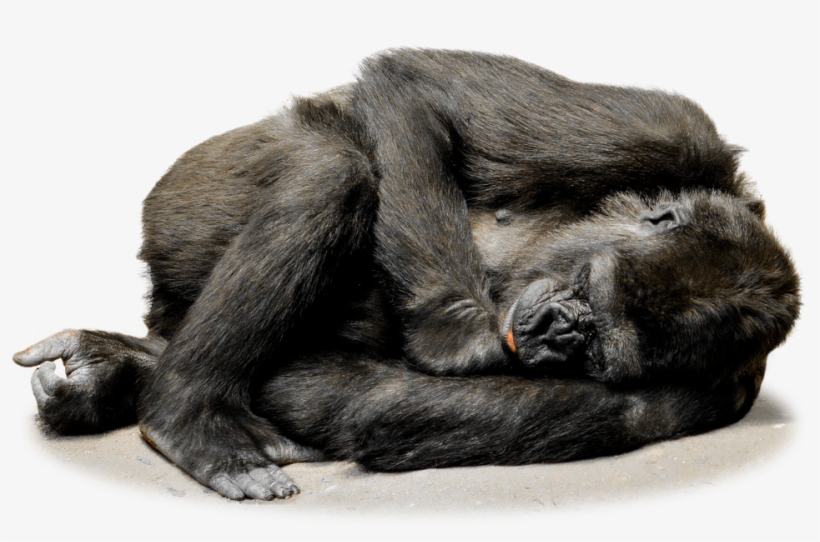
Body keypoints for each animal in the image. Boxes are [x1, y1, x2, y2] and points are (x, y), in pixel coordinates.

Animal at [12, 50, 800, 501]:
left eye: (602, 348)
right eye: (586, 291)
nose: (567, 331)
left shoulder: (704, 398)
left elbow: (371, 406)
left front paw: (121, 372)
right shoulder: (673, 128)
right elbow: (417, 89)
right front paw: (463, 337)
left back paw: (140, 378)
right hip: (181, 198)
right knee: (332, 167)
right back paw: (186, 415)